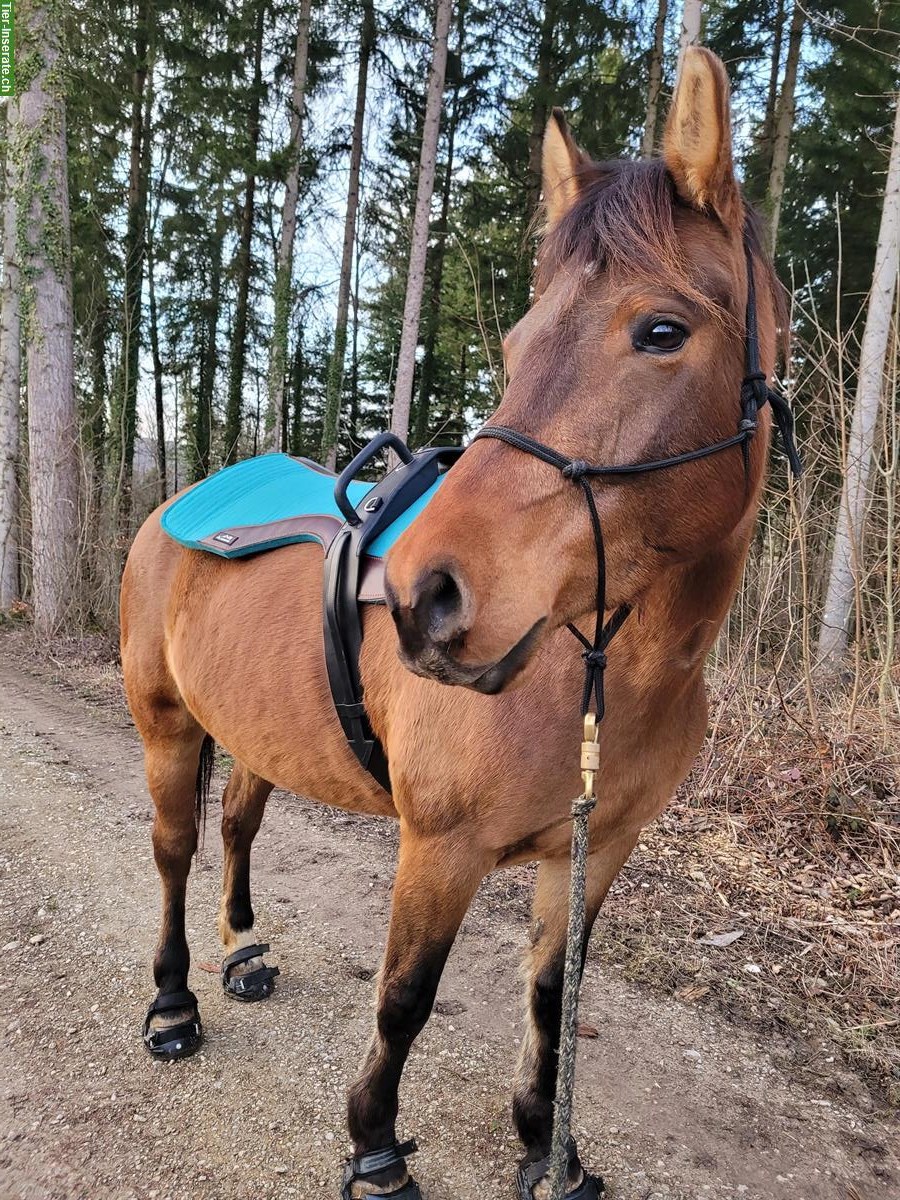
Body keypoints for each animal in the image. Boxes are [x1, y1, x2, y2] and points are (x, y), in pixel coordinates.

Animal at [123, 46, 792, 1200]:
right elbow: (404, 999)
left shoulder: (593, 851)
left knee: (237, 826)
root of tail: (179, 502)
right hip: (167, 725)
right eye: (518, 343)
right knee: (173, 851)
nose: (423, 597)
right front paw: (376, 1145)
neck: (599, 673)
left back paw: (244, 950)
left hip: (255, 731)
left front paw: (546, 1147)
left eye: (662, 331)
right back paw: (174, 1003)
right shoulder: (440, 850)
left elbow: (554, 1003)